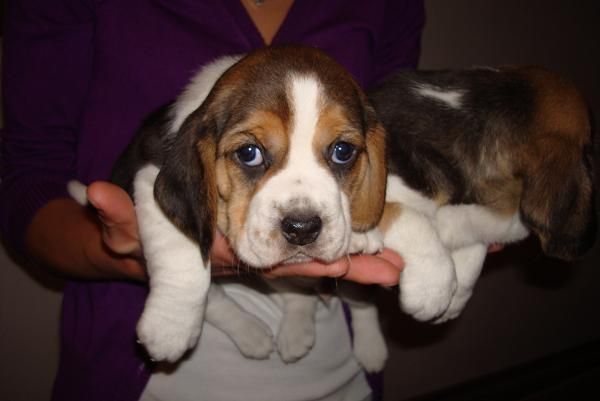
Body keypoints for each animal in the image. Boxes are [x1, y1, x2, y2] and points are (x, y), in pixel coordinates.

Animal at [85, 46, 390, 366]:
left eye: (343, 151)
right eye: (248, 153)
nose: (302, 228)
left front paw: (360, 233)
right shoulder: (149, 176)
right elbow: (179, 250)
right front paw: (170, 326)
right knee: (222, 302)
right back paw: (253, 335)